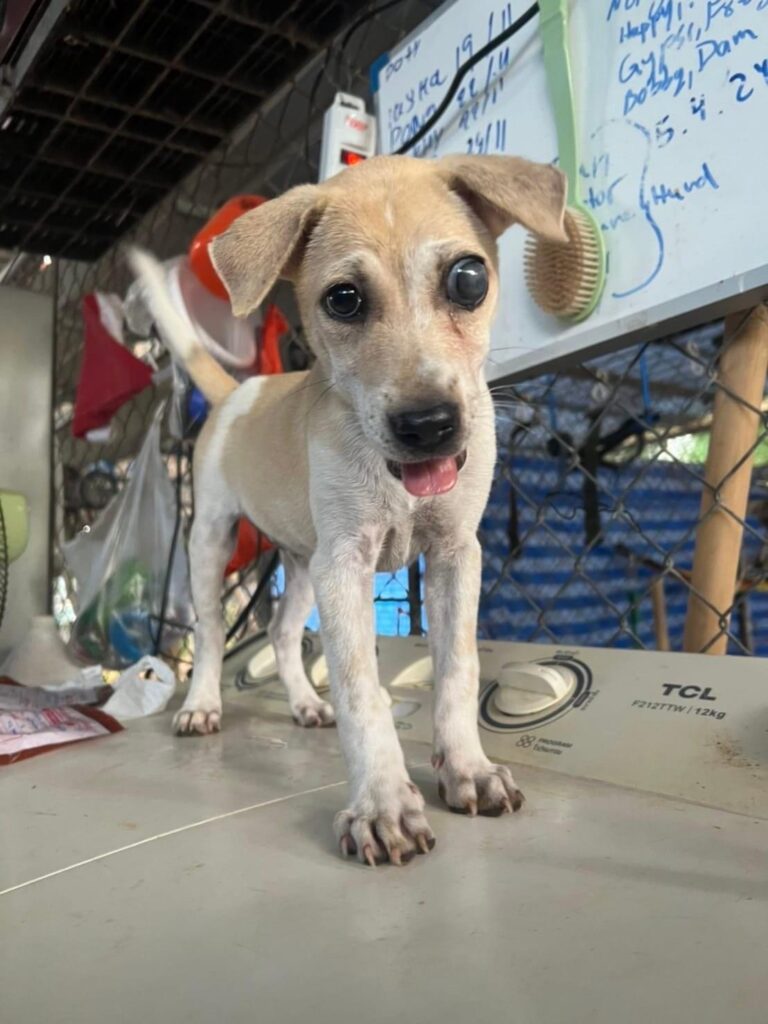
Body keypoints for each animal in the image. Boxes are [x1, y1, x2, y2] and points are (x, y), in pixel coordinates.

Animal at [131, 155, 565, 868]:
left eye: (469, 278)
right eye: (342, 299)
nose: (430, 426)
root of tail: (239, 391)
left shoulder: (454, 554)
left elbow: (459, 669)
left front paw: (467, 769)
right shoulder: (347, 565)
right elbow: (363, 691)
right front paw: (383, 805)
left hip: (303, 561)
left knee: (282, 634)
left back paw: (306, 703)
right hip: (212, 545)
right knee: (213, 633)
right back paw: (202, 705)